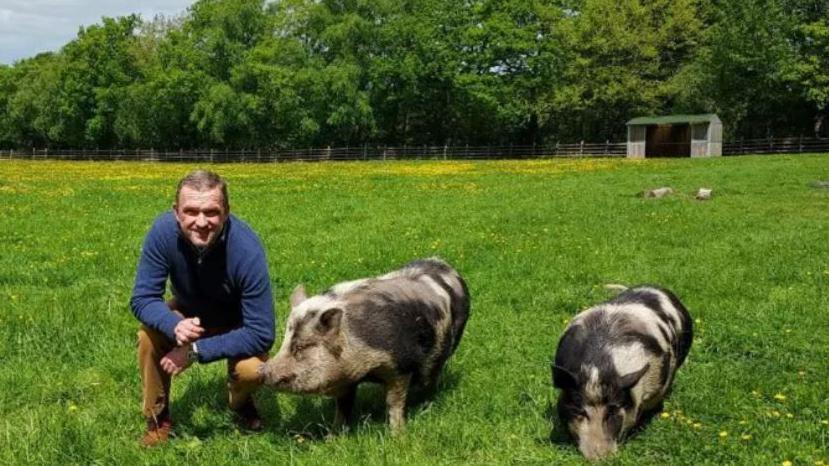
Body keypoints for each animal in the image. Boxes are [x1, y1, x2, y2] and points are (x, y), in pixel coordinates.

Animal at [256, 258, 468, 434]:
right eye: (284, 343)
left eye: (301, 347)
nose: (263, 370)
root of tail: (446, 265)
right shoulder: (346, 379)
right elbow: (343, 407)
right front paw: (333, 436)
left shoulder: (400, 366)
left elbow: (394, 402)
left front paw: (397, 435)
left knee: (432, 373)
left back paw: (427, 401)